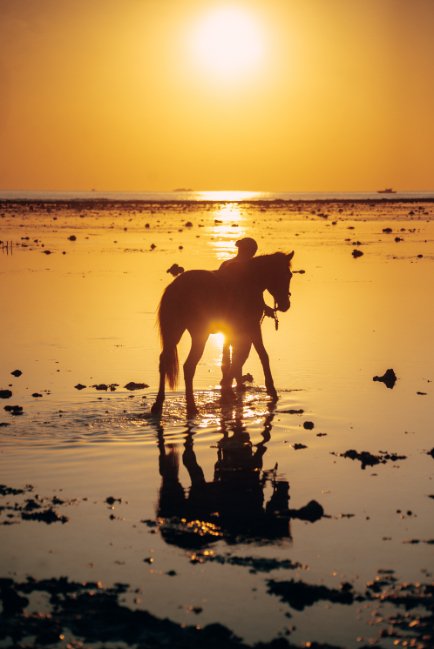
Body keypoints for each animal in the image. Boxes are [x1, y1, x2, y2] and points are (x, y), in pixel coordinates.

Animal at [151, 251, 294, 415]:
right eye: (283, 275)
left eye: (289, 275)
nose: (285, 305)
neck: (249, 281)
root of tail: (175, 288)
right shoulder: (252, 327)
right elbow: (260, 356)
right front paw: (271, 389)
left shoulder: (236, 331)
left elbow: (234, 358)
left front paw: (228, 388)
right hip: (199, 335)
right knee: (189, 366)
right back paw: (192, 407)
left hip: (175, 332)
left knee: (164, 361)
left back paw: (158, 404)